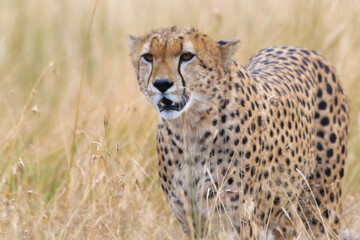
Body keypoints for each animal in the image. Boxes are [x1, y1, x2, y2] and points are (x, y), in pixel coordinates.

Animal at [129, 27, 348, 239]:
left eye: (187, 56)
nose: (162, 84)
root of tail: (300, 48)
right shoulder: (191, 219)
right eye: (148, 57)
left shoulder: (240, 216)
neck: (191, 128)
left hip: (322, 201)